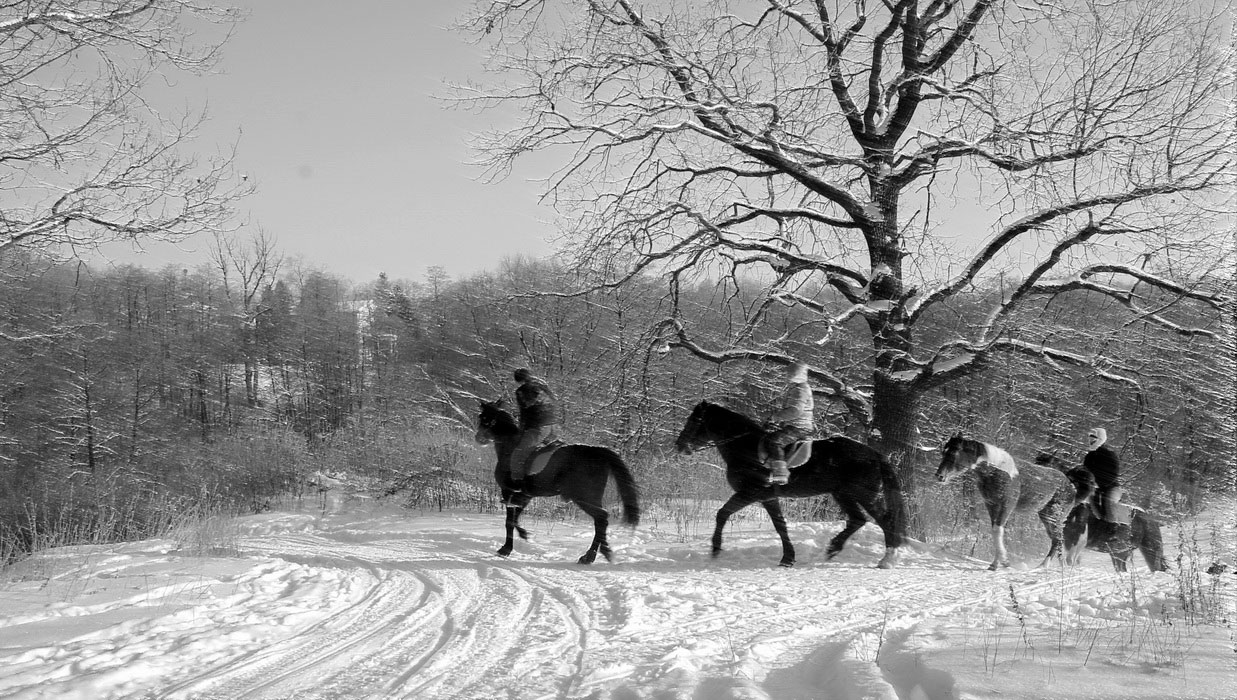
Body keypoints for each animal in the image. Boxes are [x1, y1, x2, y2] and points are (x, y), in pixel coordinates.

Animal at [475, 400, 643, 566]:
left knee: (601, 518)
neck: (510, 448)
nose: (478, 438)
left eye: (484, 418)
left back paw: (590, 556)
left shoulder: (509, 493)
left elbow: (509, 522)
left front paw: (505, 549)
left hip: (585, 498)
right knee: (601, 521)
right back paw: (602, 552)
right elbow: (515, 519)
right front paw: (523, 535)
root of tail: (597, 451)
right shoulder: (524, 497)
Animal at [672, 400, 905, 571]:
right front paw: (788, 558)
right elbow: (780, 526)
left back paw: (887, 560)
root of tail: (874, 454)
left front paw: (715, 549)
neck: (745, 448)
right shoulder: (768, 497)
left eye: (694, 420)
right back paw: (833, 548)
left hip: (865, 495)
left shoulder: (750, 493)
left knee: (884, 520)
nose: (679, 445)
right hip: (843, 494)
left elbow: (722, 513)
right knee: (857, 520)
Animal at [935, 435, 1083, 573]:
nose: (939, 476)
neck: (997, 470)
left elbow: (997, 531)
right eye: (944, 452)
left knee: (1058, 539)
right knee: (1056, 539)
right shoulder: (992, 506)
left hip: (1053, 516)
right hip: (1046, 516)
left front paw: (1005, 562)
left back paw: (1047, 566)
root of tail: (1073, 489)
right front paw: (995, 564)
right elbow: (996, 532)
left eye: (954, 453)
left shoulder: (1006, 506)